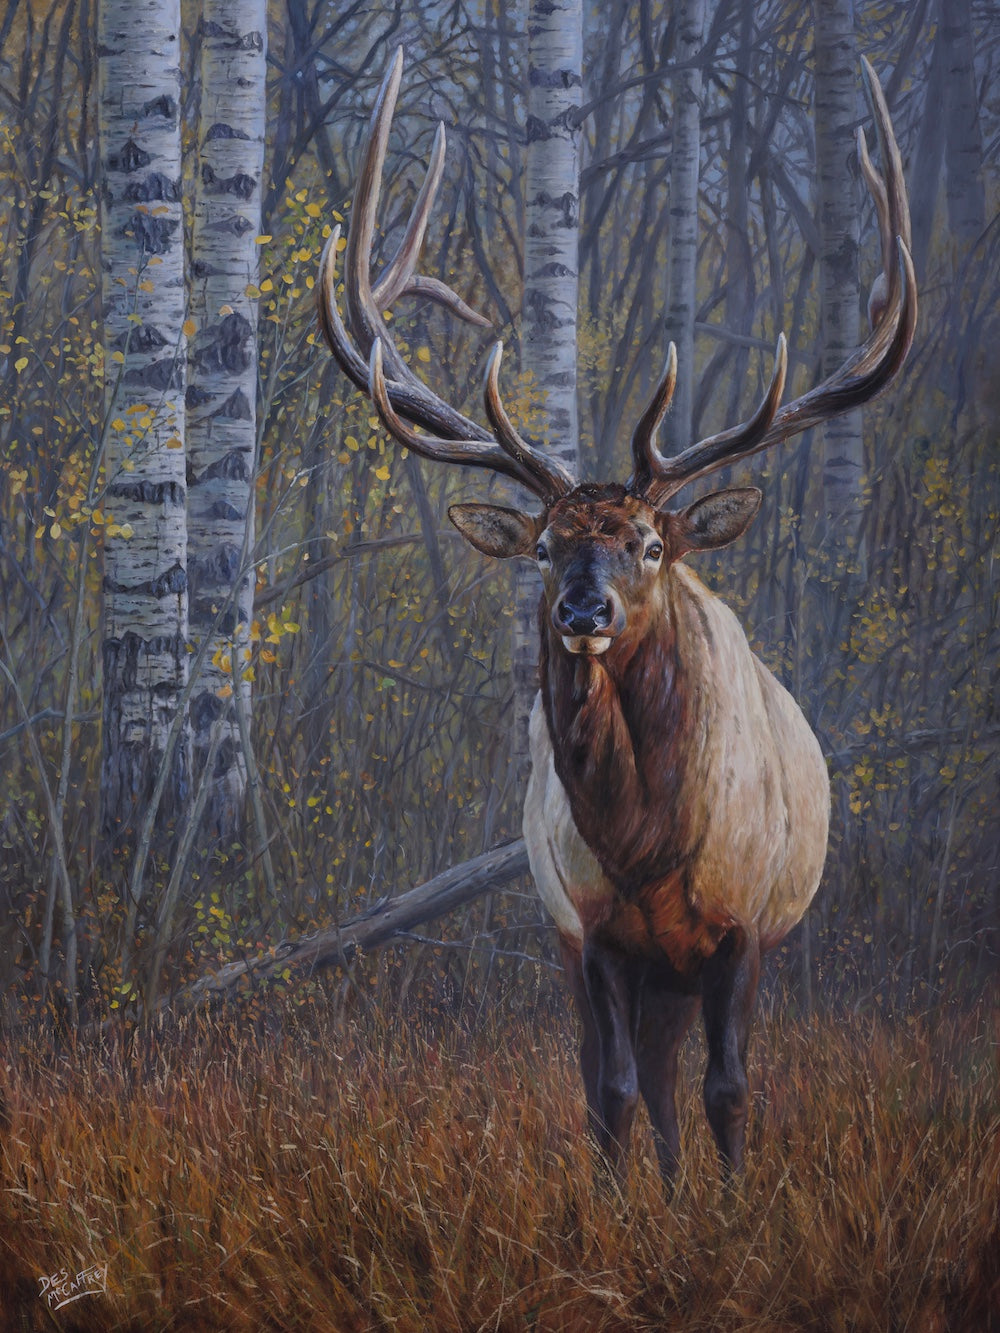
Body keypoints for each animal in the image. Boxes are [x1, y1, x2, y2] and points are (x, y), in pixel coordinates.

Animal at [316, 50, 915, 1189]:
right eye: (546, 544)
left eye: (648, 542)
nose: (582, 608)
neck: (649, 839)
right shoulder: (589, 927)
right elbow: (613, 1094)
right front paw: (612, 1211)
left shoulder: (742, 929)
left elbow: (729, 1089)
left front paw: (730, 1207)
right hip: (603, 955)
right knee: (637, 1077)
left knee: (686, 1078)